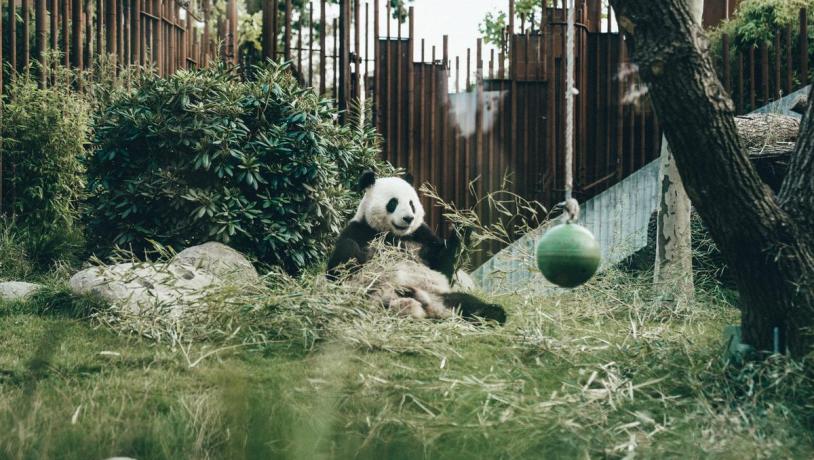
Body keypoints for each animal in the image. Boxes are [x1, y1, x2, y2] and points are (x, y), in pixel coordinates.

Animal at [326, 171, 506, 326]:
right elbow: (340, 262)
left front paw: (463, 226)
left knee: (467, 303)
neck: (394, 234)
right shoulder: (360, 230)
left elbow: (443, 264)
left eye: (411, 203)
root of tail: (428, 309)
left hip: (441, 295)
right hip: (373, 296)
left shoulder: (421, 235)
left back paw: (492, 314)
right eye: (393, 203)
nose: (408, 218)